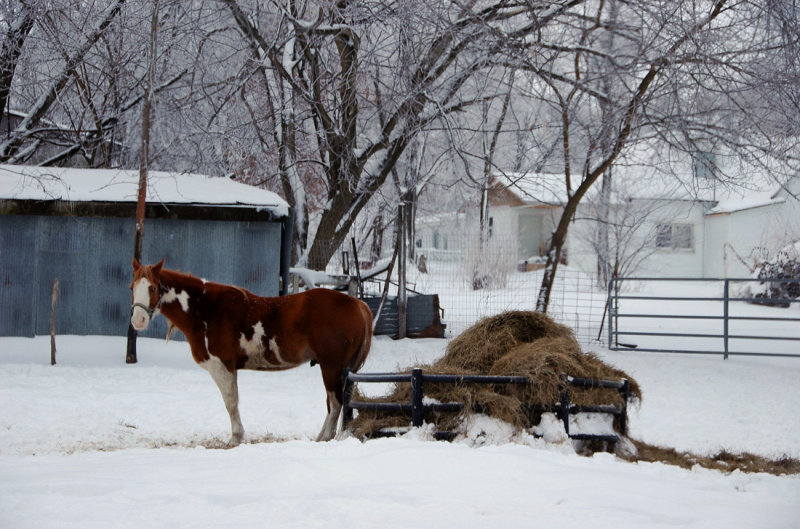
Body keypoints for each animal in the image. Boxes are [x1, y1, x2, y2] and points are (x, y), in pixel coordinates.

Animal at [130, 258, 374, 444]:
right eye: (132, 287)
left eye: (152, 287)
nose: (137, 320)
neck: (206, 309)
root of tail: (358, 304)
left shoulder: (222, 366)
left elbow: (231, 403)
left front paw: (235, 438)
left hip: (331, 367)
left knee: (335, 404)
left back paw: (325, 438)